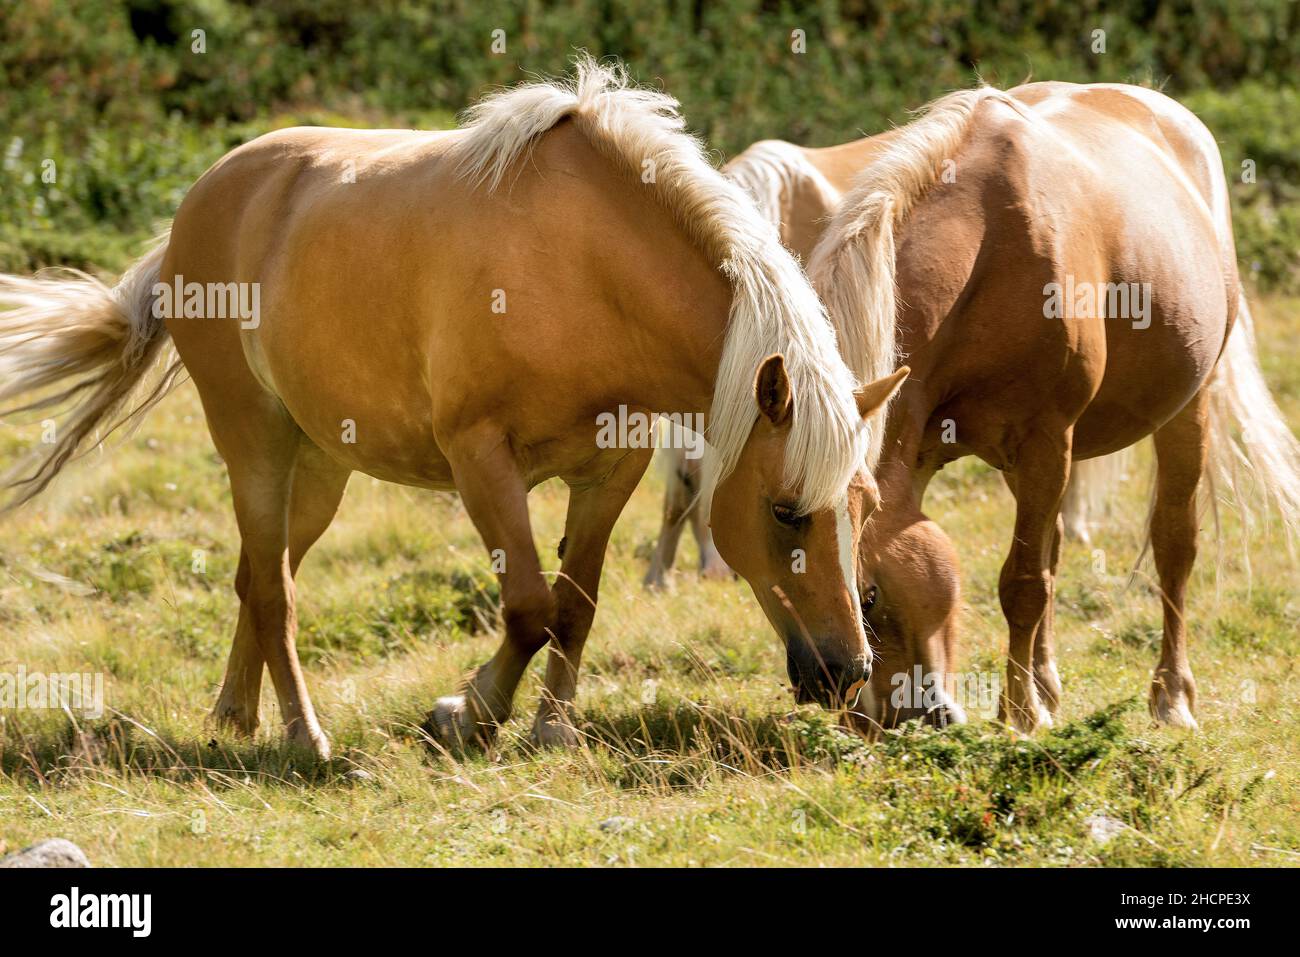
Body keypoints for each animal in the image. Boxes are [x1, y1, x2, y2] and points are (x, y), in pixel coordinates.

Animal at [0, 63, 909, 759]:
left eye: (863, 507)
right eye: (785, 510)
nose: (849, 672)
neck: (583, 266)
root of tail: (201, 201)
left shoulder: (611, 472)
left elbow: (576, 605)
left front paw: (550, 728)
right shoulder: (482, 463)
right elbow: (531, 607)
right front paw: (465, 715)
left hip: (317, 466)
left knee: (259, 576)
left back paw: (235, 714)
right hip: (252, 442)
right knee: (276, 593)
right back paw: (303, 736)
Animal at [800, 80, 1300, 733]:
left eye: (869, 595)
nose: (881, 721)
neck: (989, 244)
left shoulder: (1044, 441)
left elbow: (1023, 585)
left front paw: (1020, 715)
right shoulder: (934, 453)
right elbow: (1039, 568)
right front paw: (1034, 697)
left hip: (1187, 411)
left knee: (1174, 545)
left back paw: (1171, 696)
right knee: (1060, 547)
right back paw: (1050, 681)